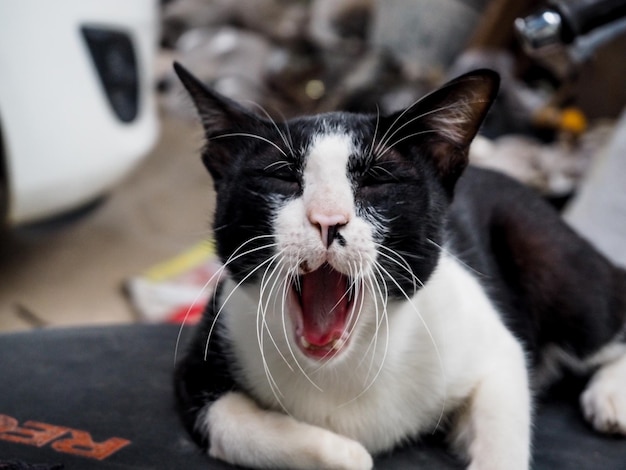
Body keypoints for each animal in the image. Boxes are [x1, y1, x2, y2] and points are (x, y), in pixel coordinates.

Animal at [171, 63, 624, 470]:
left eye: (377, 181)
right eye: (281, 177)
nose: (327, 220)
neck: (342, 366)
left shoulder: (492, 345)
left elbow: (503, 416)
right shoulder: (203, 359)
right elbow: (226, 421)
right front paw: (348, 453)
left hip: (547, 255)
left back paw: (611, 395)